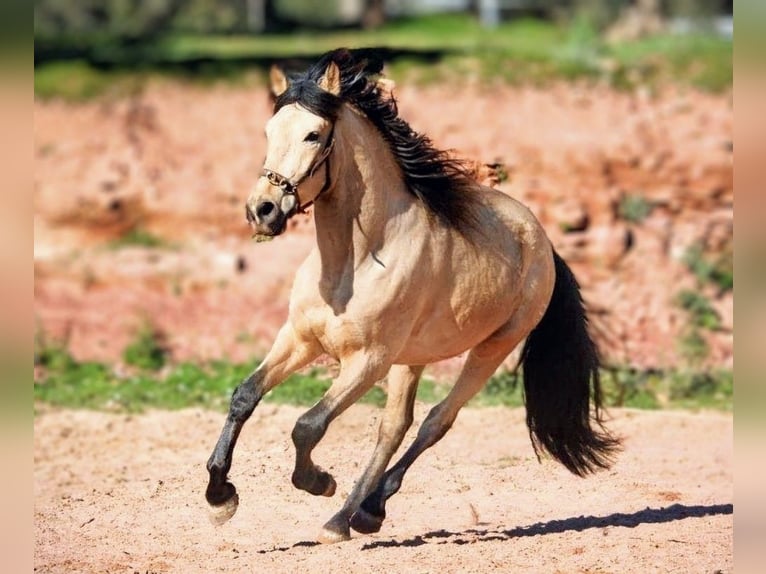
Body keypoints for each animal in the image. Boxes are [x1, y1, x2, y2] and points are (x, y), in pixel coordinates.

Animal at [205, 48, 620, 544]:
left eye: (313, 134)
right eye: (269, 131)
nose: (261, 211)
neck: (351, 261)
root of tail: (542, 243)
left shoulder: (368, 360)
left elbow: (308, 425)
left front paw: (319, 482)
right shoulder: (300, 339)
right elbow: (245, 396)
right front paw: (220, 497)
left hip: (492, 347)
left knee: (434, 421)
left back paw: (354, 514)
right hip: (412, 358)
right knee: (394, 427)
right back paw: (358, 514)